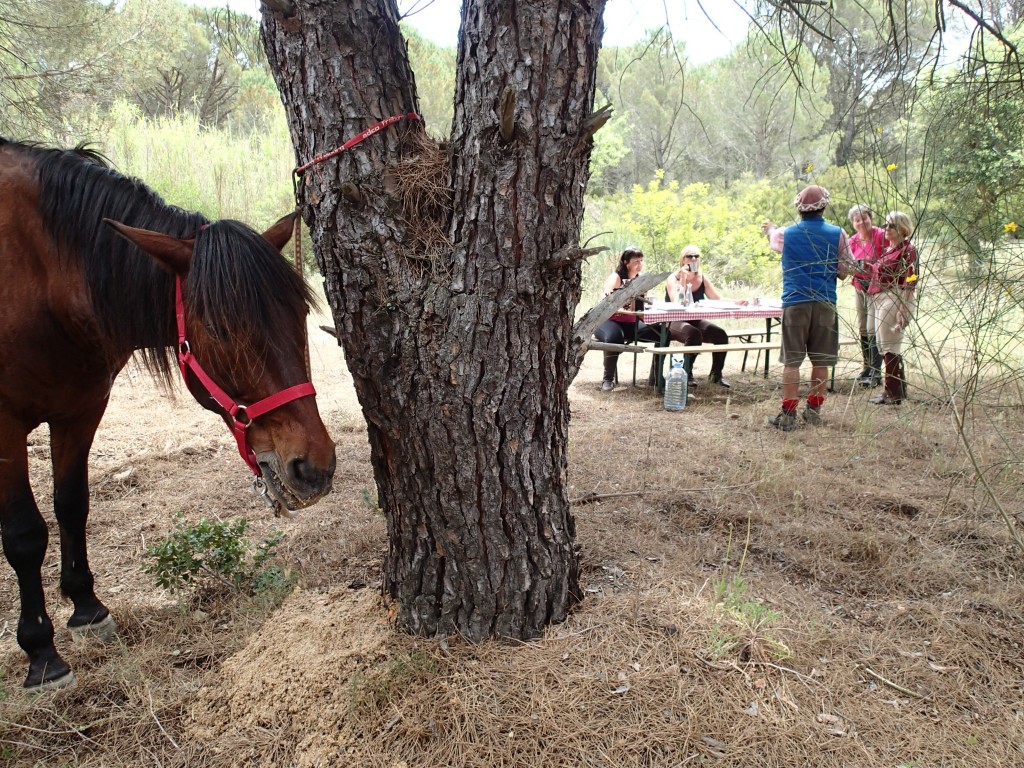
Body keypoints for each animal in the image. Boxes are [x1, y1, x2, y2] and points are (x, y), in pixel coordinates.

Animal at [0, 138, 335, 692]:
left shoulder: (81, 409)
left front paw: (87, 609)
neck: (41, 271)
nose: (315, 467)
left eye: (300, 313)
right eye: (219, 329)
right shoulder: (5, 427)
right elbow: (25, 534)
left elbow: (72, 504)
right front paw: (42, 653)